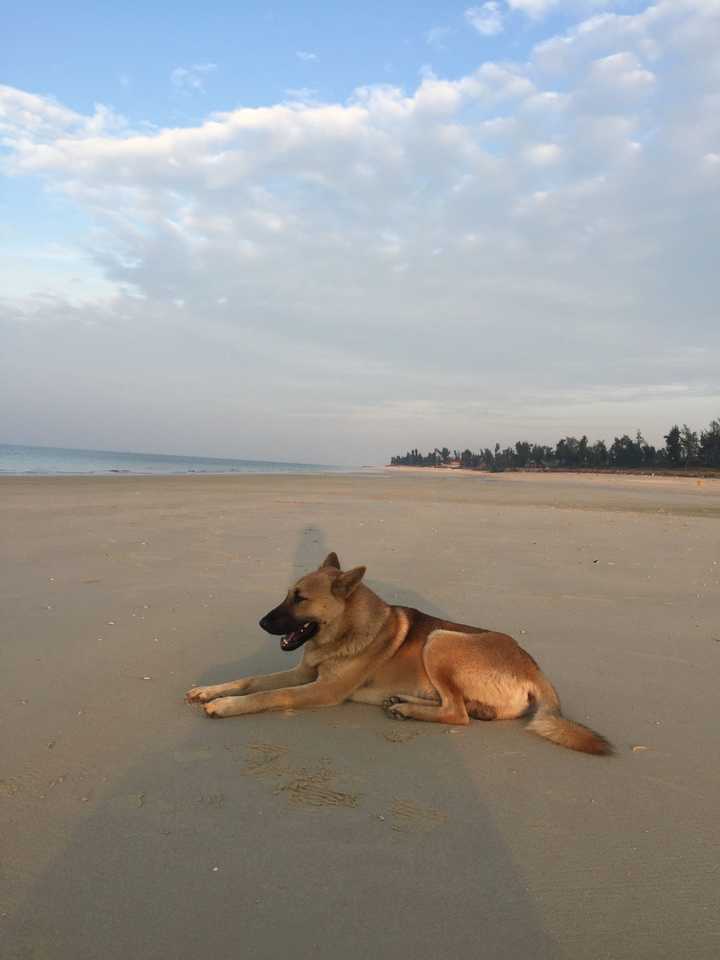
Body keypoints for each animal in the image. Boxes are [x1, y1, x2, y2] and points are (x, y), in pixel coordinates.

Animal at [187, 556, 612, 756]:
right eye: (287, 594)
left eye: (300, 598)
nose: (261, 622)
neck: (347, 629)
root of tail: (534, 667)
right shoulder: (304, 673)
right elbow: (253, 680)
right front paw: (211, 690)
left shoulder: (319, 690)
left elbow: (270, 694)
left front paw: (225, 706)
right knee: (460, 707)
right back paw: (404, 701)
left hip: (440, 640)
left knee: (457, 714)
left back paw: (407, 708)